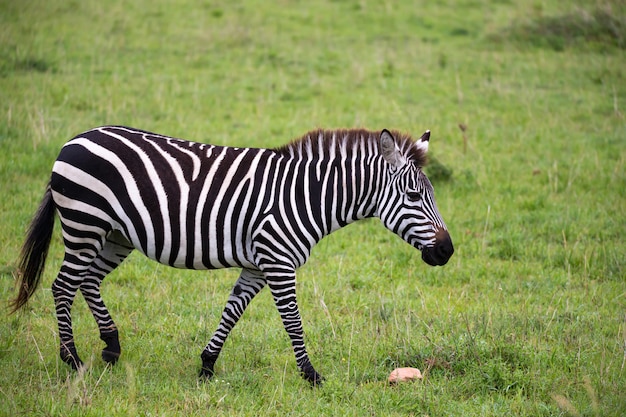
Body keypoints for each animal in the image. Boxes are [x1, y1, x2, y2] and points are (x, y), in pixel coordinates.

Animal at [9, 125, 454, 386]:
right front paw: (311, 375)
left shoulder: (257, 265)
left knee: (88, 280)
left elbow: (232, 310)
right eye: (413, 196)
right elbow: (293, 322)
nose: (447, 251)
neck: (307, 196)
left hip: (116, 235)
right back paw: (72, 360)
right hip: (86, 224)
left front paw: (207, 364)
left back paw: (112, 347)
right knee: (63, 285)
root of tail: (74, 139)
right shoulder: (278, 261)